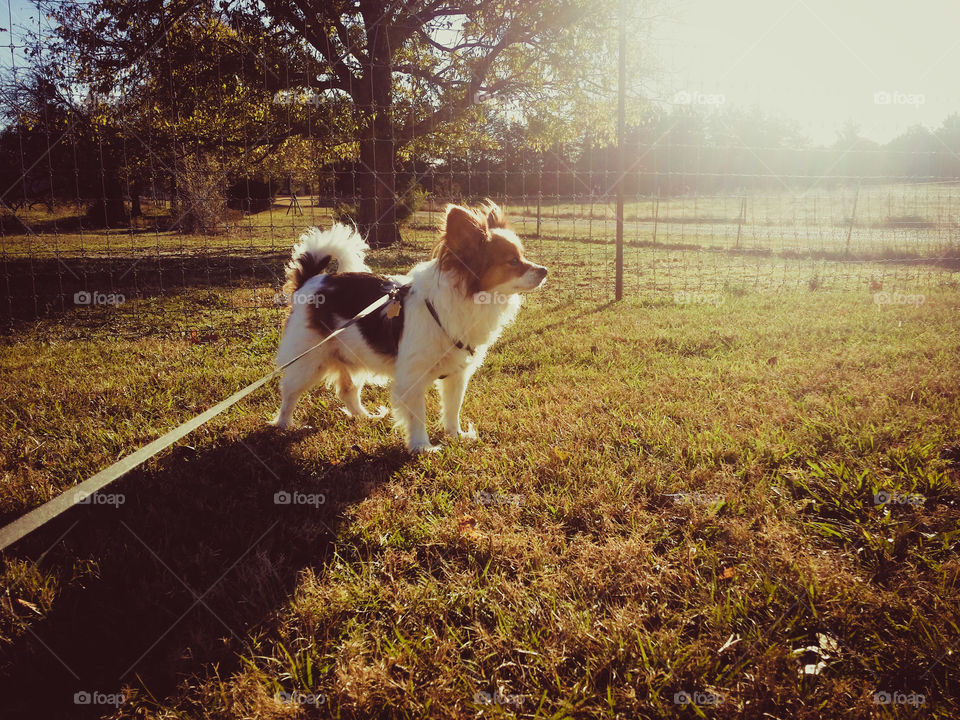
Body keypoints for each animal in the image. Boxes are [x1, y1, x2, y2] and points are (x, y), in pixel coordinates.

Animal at [270, 200, 548, 452]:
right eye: (513, 261)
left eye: (522, 256)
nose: (544, 270)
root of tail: (311, 281)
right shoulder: (413, 378)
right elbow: (418, 415)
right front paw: (422, 447)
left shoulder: (457, 375)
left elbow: (453, 407)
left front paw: (456, 435)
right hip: (309, 362)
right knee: (289, 393)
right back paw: (284, 425)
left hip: (353, 357)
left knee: (348, 390)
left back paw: (364, 417)